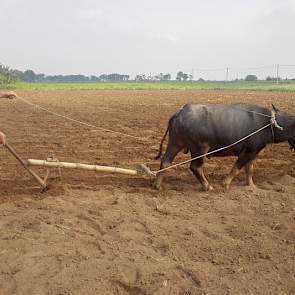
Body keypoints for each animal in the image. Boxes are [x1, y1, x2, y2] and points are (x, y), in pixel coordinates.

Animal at [155, 103, 295, 192]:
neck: (267, 123)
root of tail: (179, 113)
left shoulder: (253, 152)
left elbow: (249, 169)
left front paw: (251, 186)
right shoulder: (247, 152)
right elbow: (236, 168)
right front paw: (225, 184)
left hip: (175, 143)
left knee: (166, 162)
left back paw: (157, 185)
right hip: (200, 149)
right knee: (195, 167)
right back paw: (207, 186)